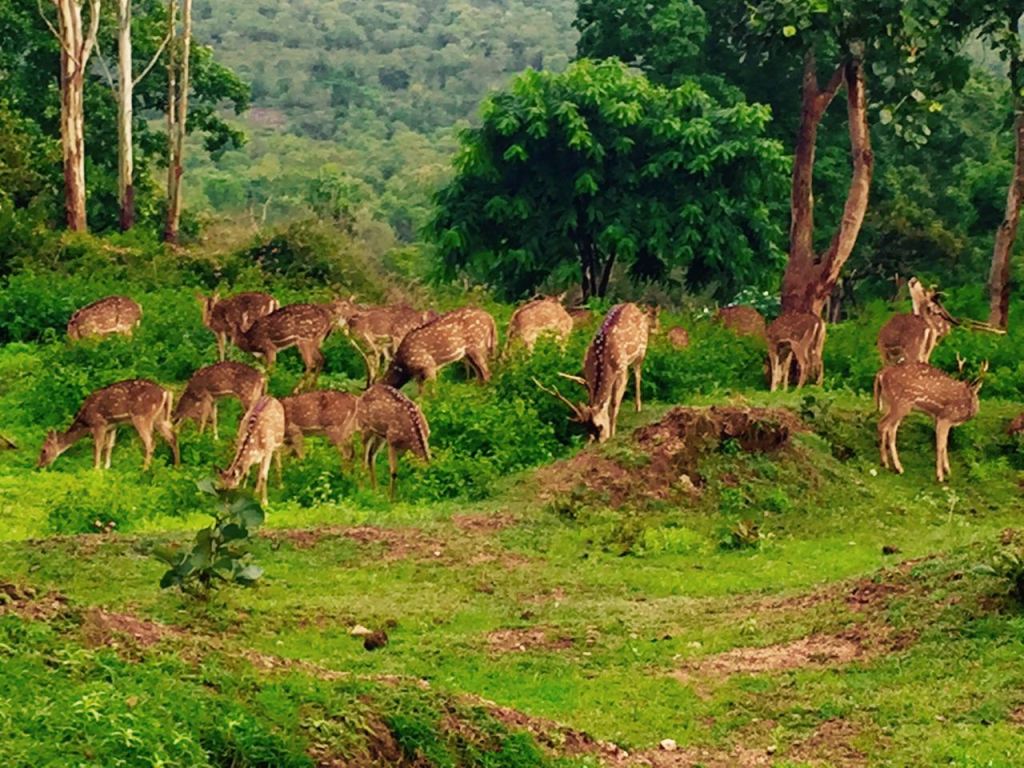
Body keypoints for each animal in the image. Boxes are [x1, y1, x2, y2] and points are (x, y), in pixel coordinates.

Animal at [37, 379, 179, 470]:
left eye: (43, 450)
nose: (39, 465)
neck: (85, 421)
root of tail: (166, 392)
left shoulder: (99, 424)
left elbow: (98, 446)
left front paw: (96, 469)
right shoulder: (112, 426)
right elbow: (109, 445)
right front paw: (106, 467)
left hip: (142, 416)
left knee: (150, 442)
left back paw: (144, 469)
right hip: (160, 418)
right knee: (173, 436)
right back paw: (177, 466)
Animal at [534, 302, 653, 443]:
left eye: (600, 427)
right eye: (587, 428)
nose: (600, 441)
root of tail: (632, 305)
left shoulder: (621, 370)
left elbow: (614, 402)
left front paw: (613, 432)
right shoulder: (587, 374)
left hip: (641, 351)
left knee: (637, 373)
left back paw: (638, 407)